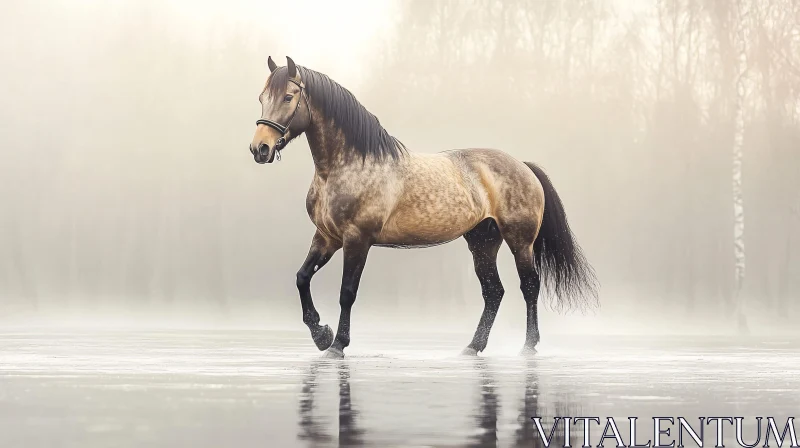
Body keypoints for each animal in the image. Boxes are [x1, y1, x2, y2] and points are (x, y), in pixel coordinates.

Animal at [247, 57, 596, 356]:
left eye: (289, 97)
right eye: (262, 97)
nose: (259, 148)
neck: (346, 166)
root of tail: (523, 166)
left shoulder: (357, 239)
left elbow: (347, 292)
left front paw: (337, 345)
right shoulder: (327, 237)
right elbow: (302, 278)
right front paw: (321, 335)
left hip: (519, 241)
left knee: (529, 286)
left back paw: (528, 346)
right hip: (483, 241)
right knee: (493, 292)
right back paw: (473, 347)